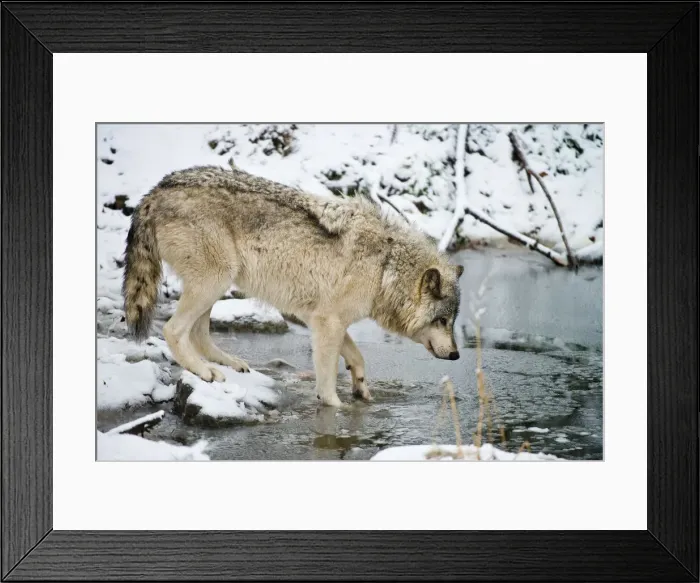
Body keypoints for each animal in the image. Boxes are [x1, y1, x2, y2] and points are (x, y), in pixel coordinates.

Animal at [123, 165, 463, 407]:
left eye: (451, 322)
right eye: (442, 320)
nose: (457, 355)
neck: (386, 267)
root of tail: (155, 191)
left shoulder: (321, 318)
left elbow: (356, 357)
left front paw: (361, 388)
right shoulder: (327, 322)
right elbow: (327, 381)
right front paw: (336, 407)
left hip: (216, 285)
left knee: (198, 333)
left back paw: (230, 364)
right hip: (214, 281)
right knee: (173, 330)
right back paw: (205, 371)